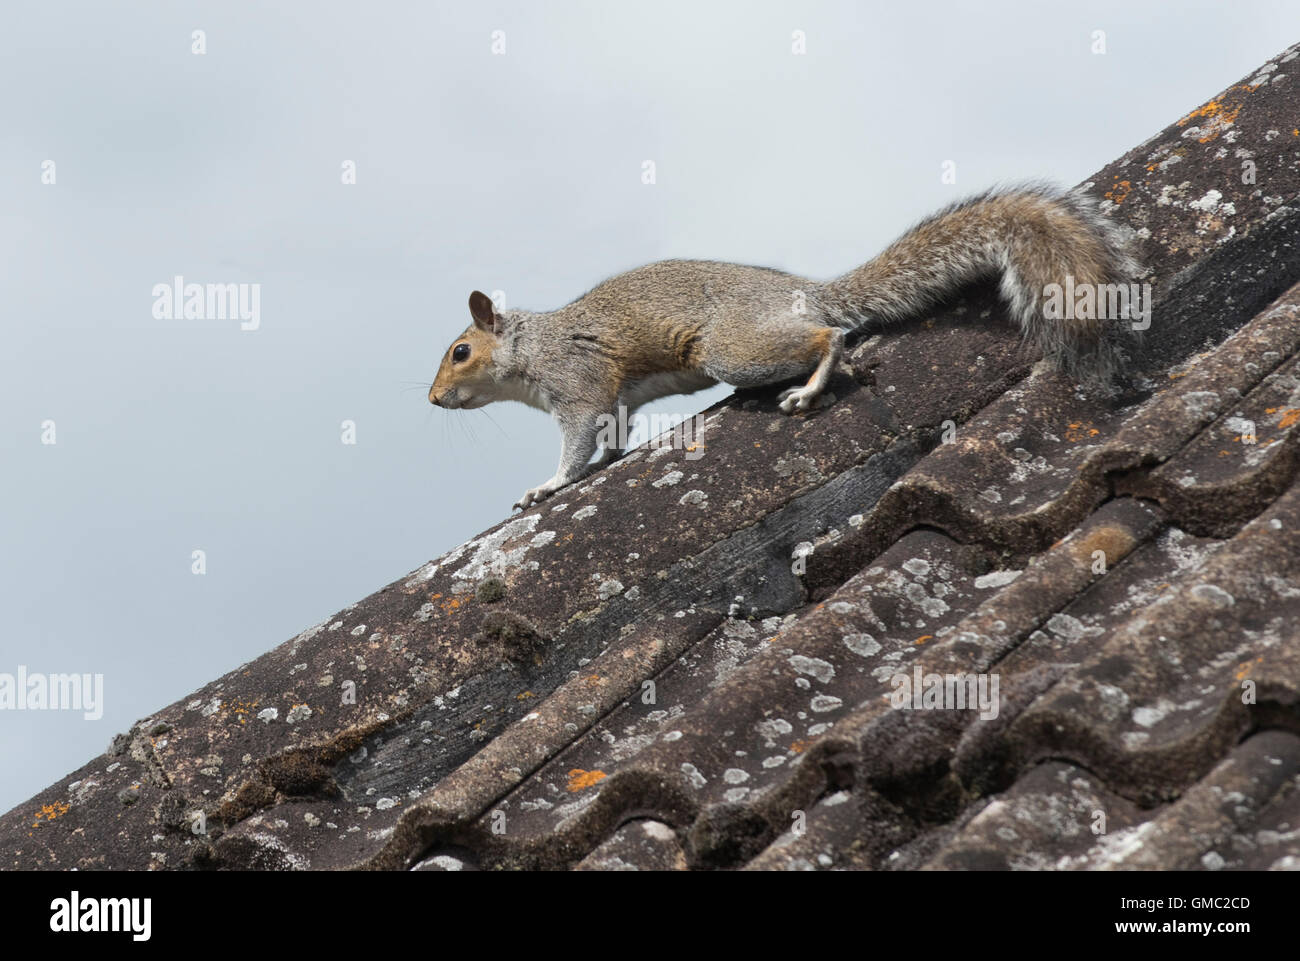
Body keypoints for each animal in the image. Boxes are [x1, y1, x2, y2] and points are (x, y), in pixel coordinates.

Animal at [428, 182, 1138, 512]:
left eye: (460, 352)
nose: (433, 400)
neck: (530, 348)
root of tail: (806, 294)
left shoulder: (576, 381)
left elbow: (577, 442)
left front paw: (547, 486)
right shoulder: (612, 396)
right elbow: (615, 430)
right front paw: (609, 459)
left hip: (733, 348)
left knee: (828, 336)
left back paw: (809, 386)